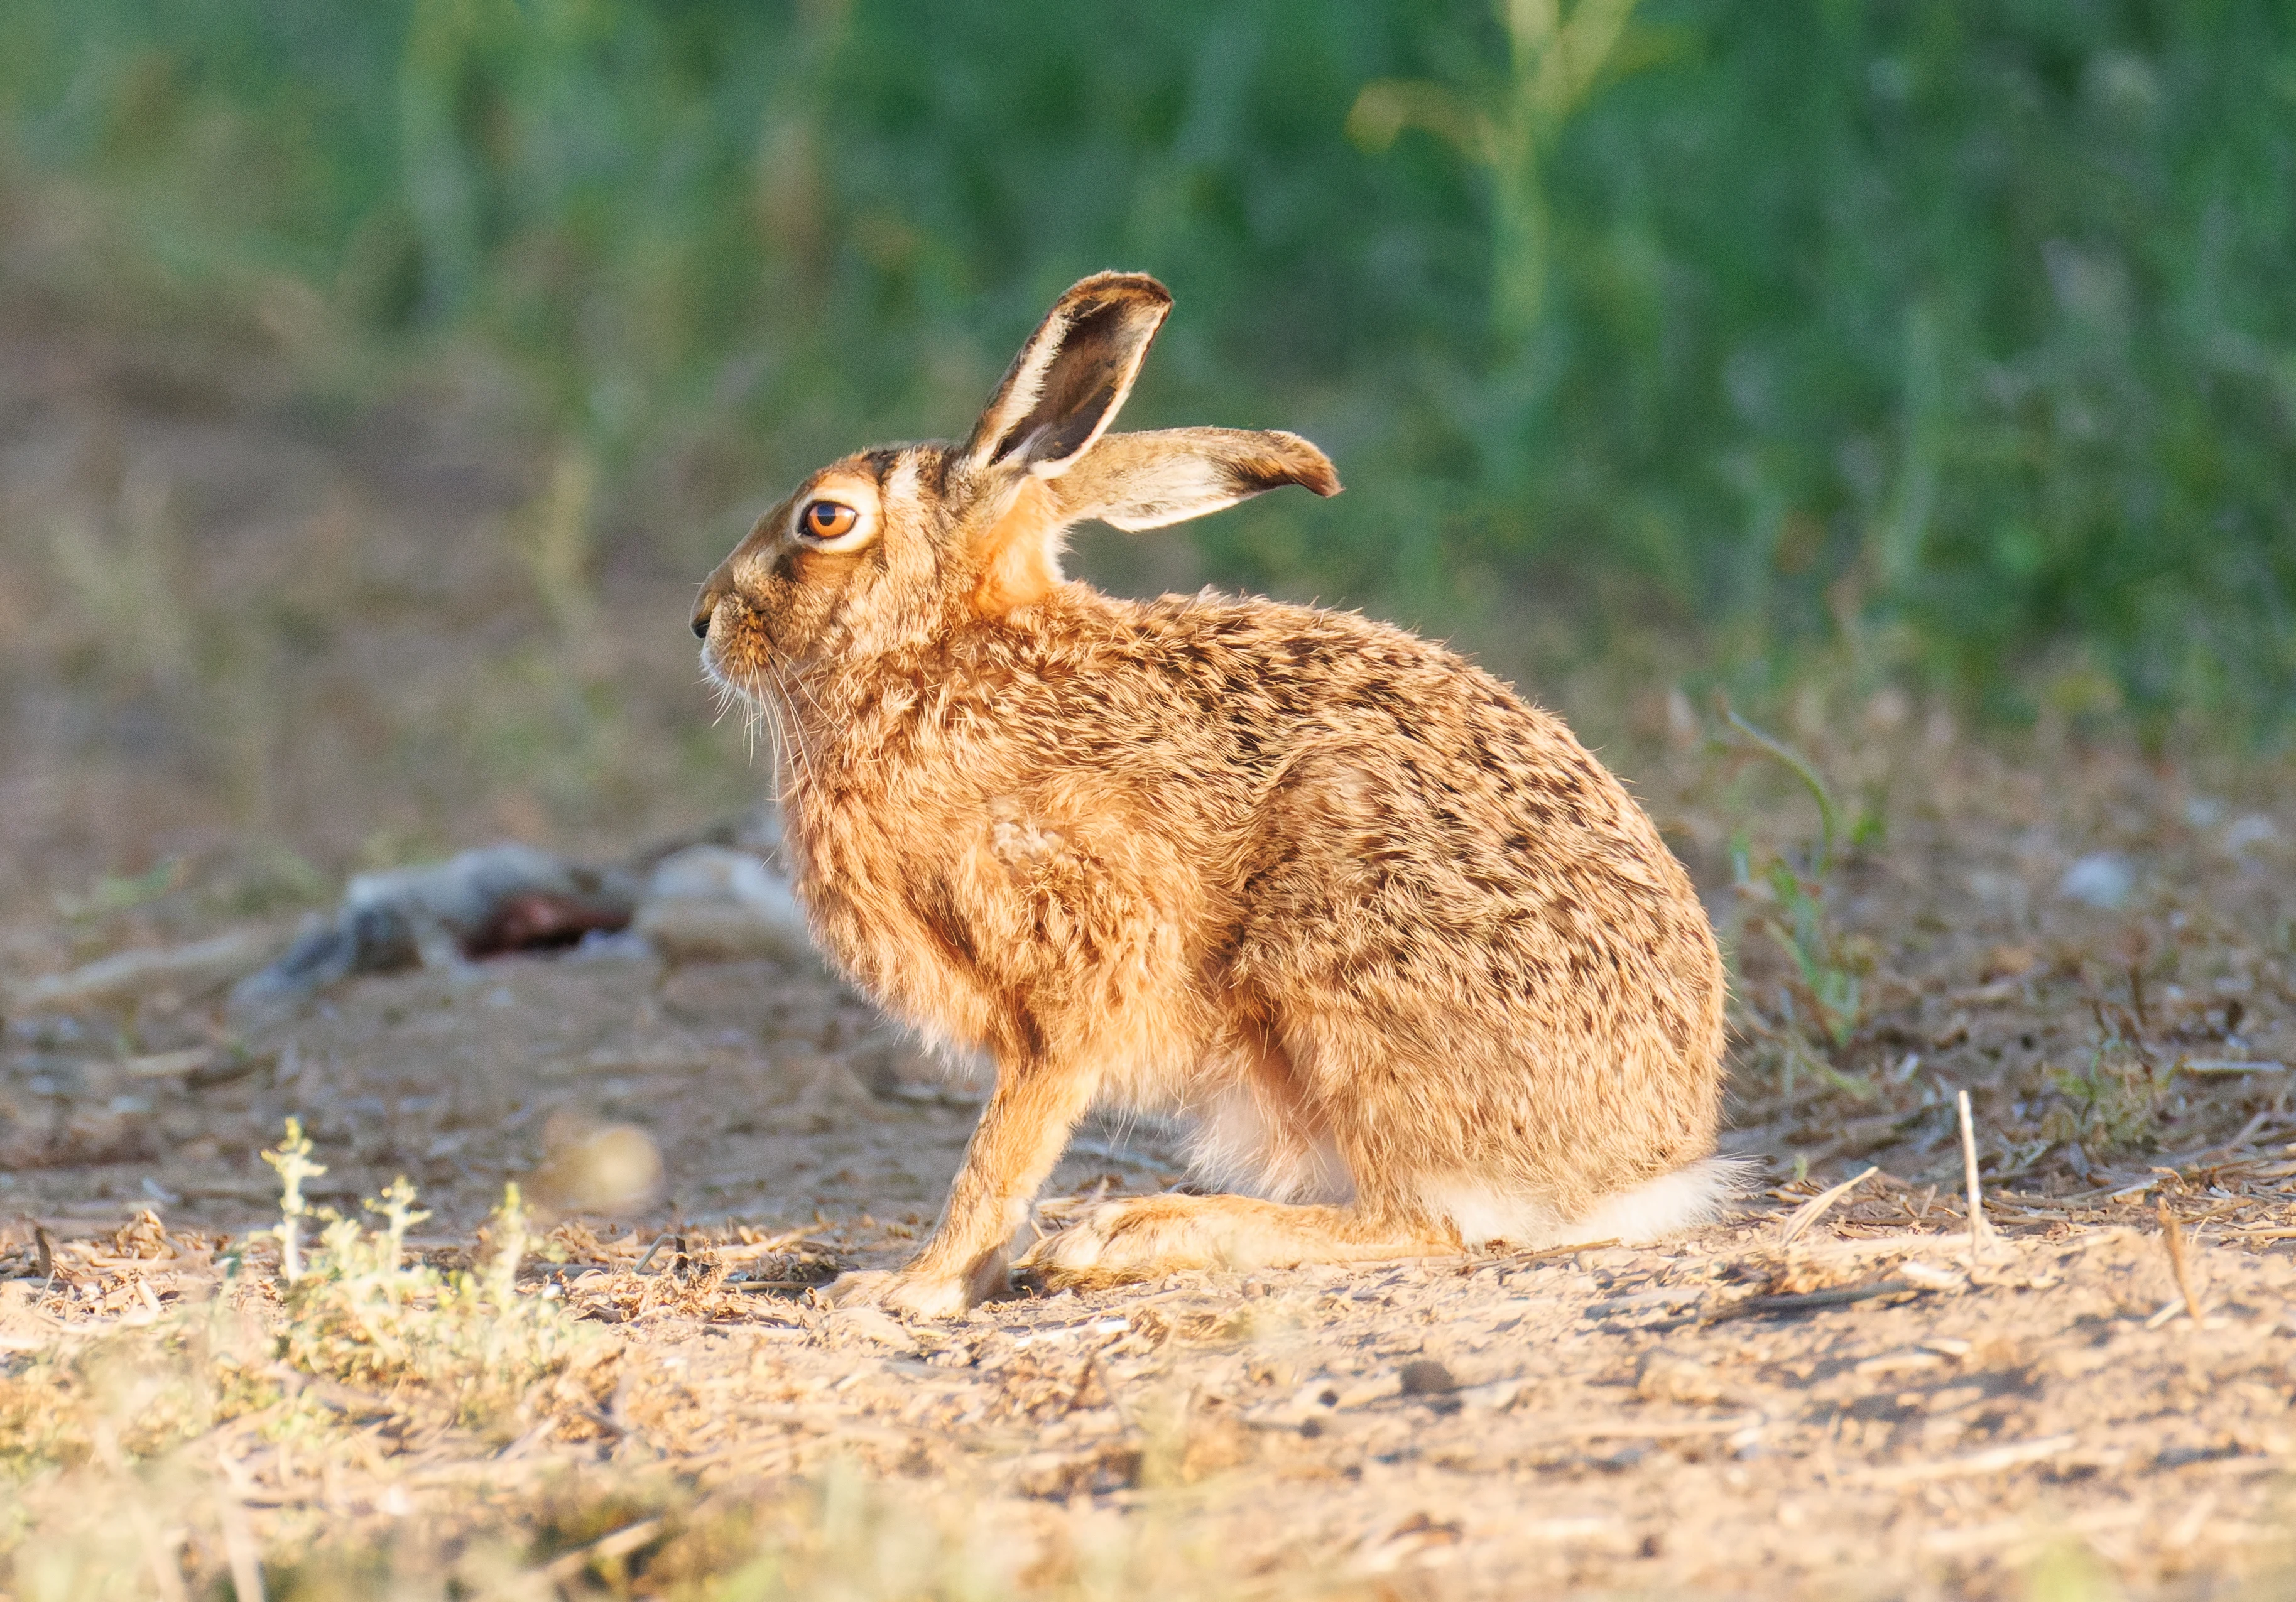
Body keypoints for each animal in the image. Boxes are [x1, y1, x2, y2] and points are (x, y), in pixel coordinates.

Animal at [693, 272, 1733, 1319]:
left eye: (826, 518)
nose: (703, 620)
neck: (935, 654)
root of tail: (1642, 1167)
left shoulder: (1077, 957)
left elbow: (1006, 1144)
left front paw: (912, 1283)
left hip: (1343, 970)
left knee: (1418, 1221)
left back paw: (1132, 1233)